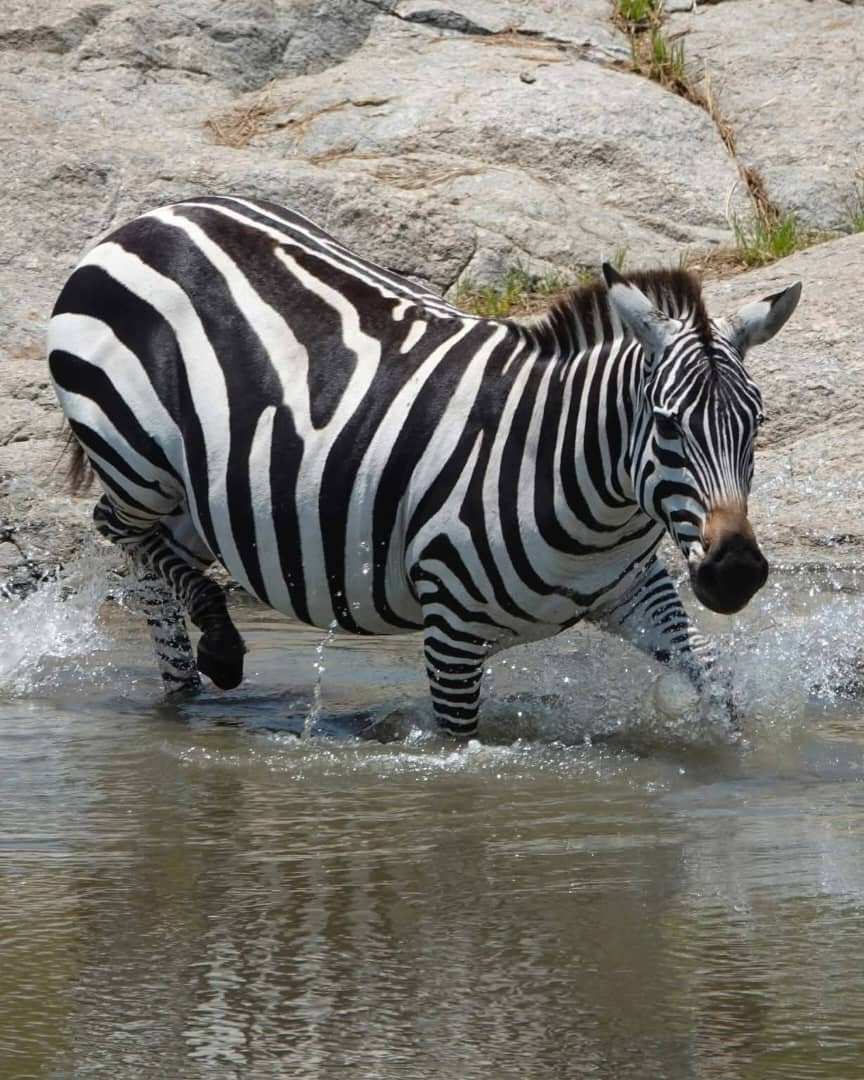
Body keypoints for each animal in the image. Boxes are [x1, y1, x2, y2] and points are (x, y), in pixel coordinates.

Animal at [48, 196, 801, 737]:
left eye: (756, 424)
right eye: (669, 425)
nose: (737, 573)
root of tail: (149, 219)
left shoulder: (634, 592)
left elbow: (716, 686)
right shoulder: (451, 633)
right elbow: (456, 756)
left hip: (203, 491)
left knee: (154, 561)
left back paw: (183, 685)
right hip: (134, 453)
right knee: (116, 526)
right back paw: (220, 642)